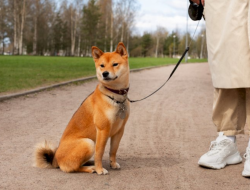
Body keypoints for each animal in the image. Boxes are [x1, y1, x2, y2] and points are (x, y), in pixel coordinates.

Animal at [35, 42, 131, 174]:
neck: (115, 96)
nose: (104, 73)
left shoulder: (119, 130)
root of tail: (55, 159)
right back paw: (91, 168)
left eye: (115, 64)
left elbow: (113, 150)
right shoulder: (103, 130)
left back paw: (90, 163)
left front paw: (113, 164)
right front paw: (100, 169)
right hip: (88, 143)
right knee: (73, 167)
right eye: (102, 65)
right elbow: (99, 153)